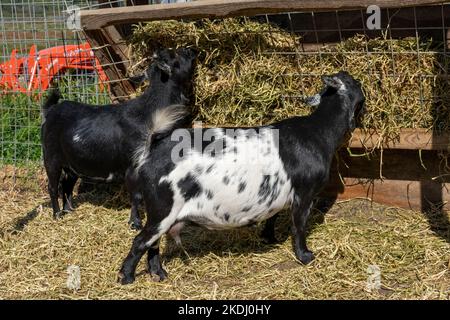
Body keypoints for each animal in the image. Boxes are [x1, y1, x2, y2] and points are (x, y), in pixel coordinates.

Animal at [40, 47, 197, 230]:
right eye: (175, 55)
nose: (191, 50)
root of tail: (51, 110)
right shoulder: (132, 165)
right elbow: (136, 196)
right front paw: (135, 223)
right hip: (51, 157)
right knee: (53, 186)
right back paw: (57, 214)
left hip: (72, 164)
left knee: (67, 184)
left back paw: (69, 210)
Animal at [117, 70, 366, 284]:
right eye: (355, 82)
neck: (318, 130)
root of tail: (152, 150)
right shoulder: (304, 195)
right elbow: (299, 226)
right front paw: (305, 256)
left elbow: (272, 216)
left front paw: (270, 238)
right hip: (163, 210)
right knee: (141, 241)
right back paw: (127, 277)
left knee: (152, 244)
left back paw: (159, 274)